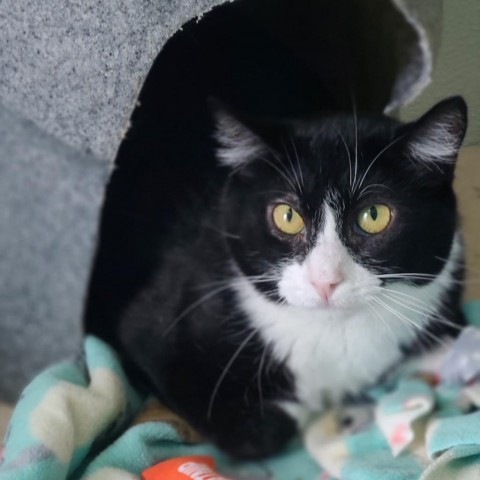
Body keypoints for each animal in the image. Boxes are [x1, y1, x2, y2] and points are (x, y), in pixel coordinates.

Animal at [117, 96, 468, 458]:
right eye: (287, 216)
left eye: (374, 215)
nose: (325, 280)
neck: (337, 334)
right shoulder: (155, 326)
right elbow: (263, 429)